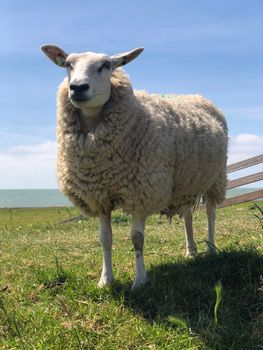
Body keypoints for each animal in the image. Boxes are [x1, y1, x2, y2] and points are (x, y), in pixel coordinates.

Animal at [41, 44, 229, 290]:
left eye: (106, 65)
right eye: (68, 65)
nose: (78, 88)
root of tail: (195, 96)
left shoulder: (142, 193)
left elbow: (137, 239)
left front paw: (140, 281)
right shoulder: (99, 197)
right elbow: (104, 239)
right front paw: (106, 280)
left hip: (216, 177)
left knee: (211, 213)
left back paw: (211, 248)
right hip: (184, 182)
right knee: (187, 215)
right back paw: (191, 251)